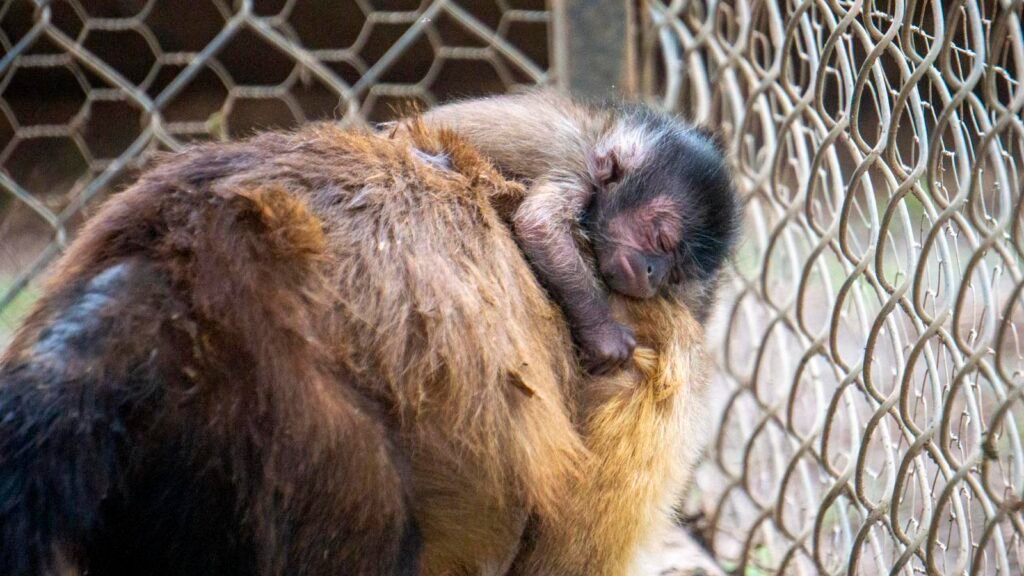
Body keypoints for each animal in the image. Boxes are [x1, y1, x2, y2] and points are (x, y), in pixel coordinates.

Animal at [420, 91, 740, 375]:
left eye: (675, 275)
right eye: (661, 240)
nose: (654, 274)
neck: (599, 137)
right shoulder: (576, 168)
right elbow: (539, 224)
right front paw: (604, 334)